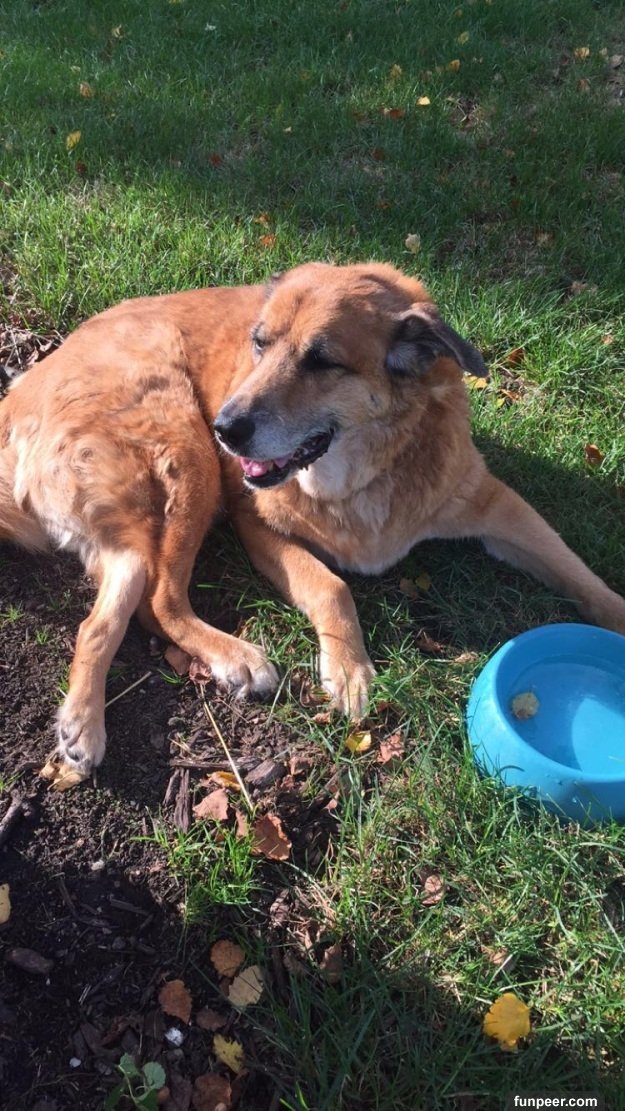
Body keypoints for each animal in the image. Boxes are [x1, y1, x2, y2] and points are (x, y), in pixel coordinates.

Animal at [2, 261, 625, 774]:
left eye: (321, 361)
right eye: (258, 344)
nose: (226, 427)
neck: (363, 471)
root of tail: (18, 400)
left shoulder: (495, 504)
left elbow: (578, 570)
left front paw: (615, 613)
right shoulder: (259, 526)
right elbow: (331, 585)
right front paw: (349, 669)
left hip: (138, 520)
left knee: (111, 613)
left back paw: (82, 722)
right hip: (187, 454)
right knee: (160, 600)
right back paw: (231, 660)